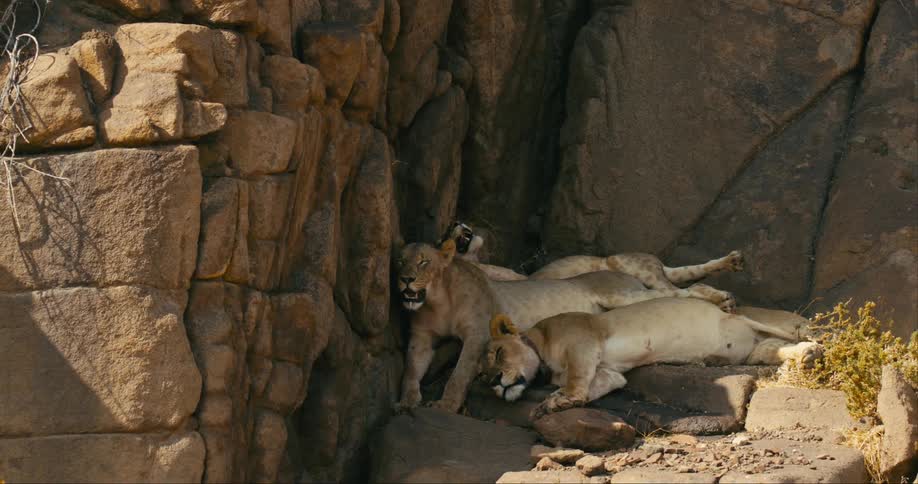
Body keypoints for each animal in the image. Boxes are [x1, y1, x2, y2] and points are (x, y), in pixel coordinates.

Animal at [395, 240, 741, 413]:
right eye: (399, 262)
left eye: (424, 262)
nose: (405, 279)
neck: (438, 300)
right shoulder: (421, 338)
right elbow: (412, 366)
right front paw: (406, 401)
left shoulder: (477, 330)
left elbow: (458, 374)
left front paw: (444, 405)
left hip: (622, 290)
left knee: (681, 290)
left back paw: (722, 297)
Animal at [480, 303, 824, 420]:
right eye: (482, 376)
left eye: (498, 354)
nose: (494, 382)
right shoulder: (609, 372)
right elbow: (594, 388)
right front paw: (553, 404)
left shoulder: (583, 341)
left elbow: (577, 381)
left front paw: (560, 398)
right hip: (754, 349)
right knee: (776, 348)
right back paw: (805, 356)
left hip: (745, 318)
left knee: (793, 332)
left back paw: (814, 344)